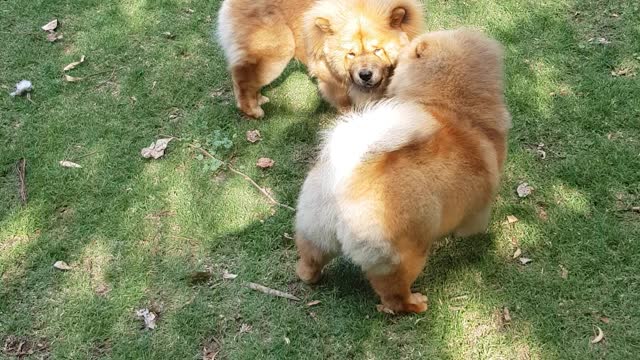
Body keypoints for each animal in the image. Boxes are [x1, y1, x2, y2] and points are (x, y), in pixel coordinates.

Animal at [216, 0, 424, 118]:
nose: (365, 74)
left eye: (377, 50)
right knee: (242, 78)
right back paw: (253, 111)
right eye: (350, 53)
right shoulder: (329, 77)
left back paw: (259, 100)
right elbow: (344, 101)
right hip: (276, 53)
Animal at [294, 29, 510, 314]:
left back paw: (310, 275)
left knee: (308, 262)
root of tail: (347, 177)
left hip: (314, 229)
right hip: (406, 254)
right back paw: (416, 303)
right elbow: (475, 223)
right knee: (393, 296)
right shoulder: (479, 204)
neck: (450, 105)